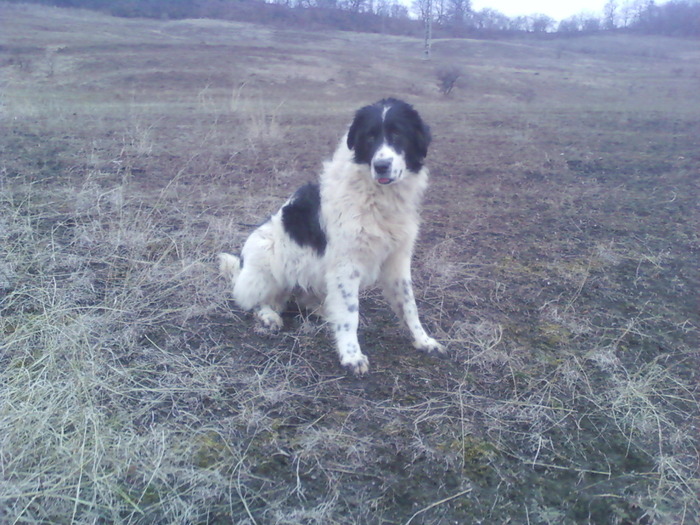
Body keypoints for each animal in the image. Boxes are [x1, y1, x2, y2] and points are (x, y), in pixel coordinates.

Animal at [219, 98, 442, 372]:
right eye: (370, 137)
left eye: (398, 134)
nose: (381, 166)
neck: (376, 196)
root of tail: (241, 265)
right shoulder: (346, 266)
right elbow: (350, 314)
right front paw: (351, 354)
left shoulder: (397, 260)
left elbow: (409, 305)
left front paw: (423, 340)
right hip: (266, 256)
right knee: (254, 299)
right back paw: (269, 315)